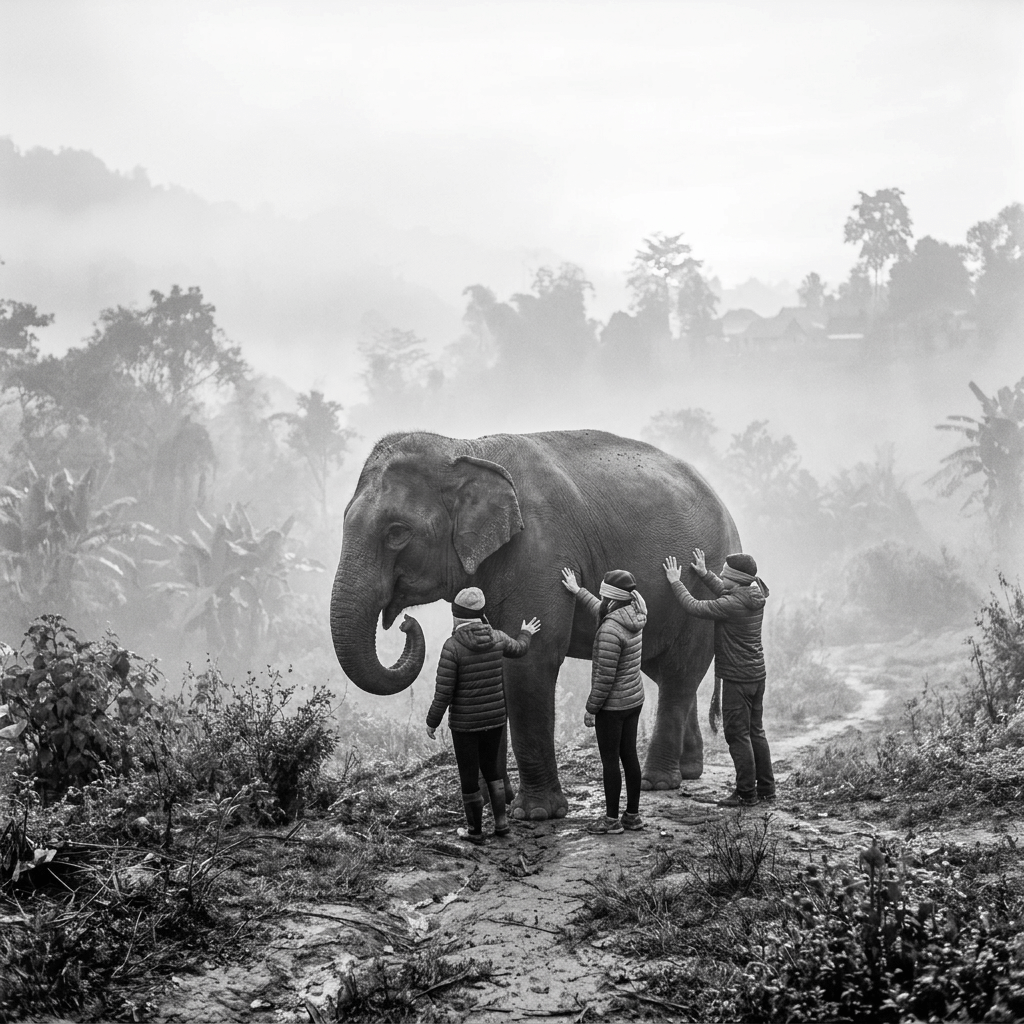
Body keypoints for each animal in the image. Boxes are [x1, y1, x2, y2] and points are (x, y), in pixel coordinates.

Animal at [330, 429, 741, 821]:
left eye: (397, 532)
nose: (406, 623)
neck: (463, 448)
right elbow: (496, 659)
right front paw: (498, 798)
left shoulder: (541, 550)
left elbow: (529, 663)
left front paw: (536, 813)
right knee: (665, 670)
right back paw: (689, 770)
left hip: (702, 590)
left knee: (678, 672)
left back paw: (660, 781)